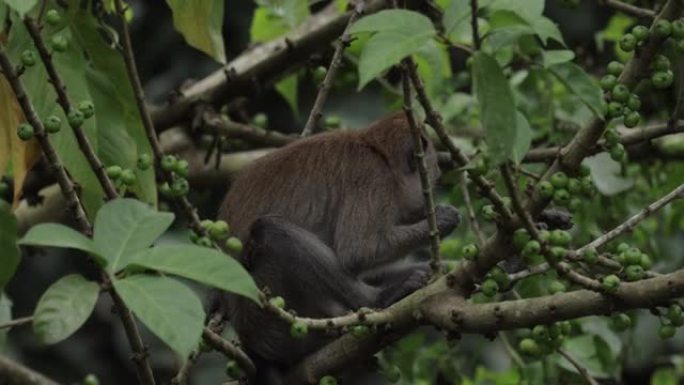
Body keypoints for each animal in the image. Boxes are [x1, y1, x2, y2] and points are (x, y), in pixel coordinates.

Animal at [218, 112, 464, 382]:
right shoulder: (372, 177)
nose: (436, 178)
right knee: (270, 231)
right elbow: (358, 252)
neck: (378, 153)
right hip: (277, 326)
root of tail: (253, 347)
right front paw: (443, 220)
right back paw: (381, 298)